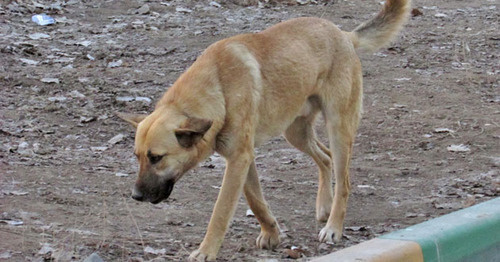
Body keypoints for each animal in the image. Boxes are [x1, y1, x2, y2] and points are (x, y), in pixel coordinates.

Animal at [116, 1, 410, 260]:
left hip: (338, 128)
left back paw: (333, 228)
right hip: (296, 133)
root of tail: (344, 35)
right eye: (137, 157)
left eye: (156, 158)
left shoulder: (239, 159)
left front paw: (206, 251)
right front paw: (272, 234)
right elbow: (256, 201)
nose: (135, 196)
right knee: (324, 157)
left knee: (344, 181)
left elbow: (221, 211)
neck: (219, 88)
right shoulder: (242, 159)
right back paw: (324, 206)